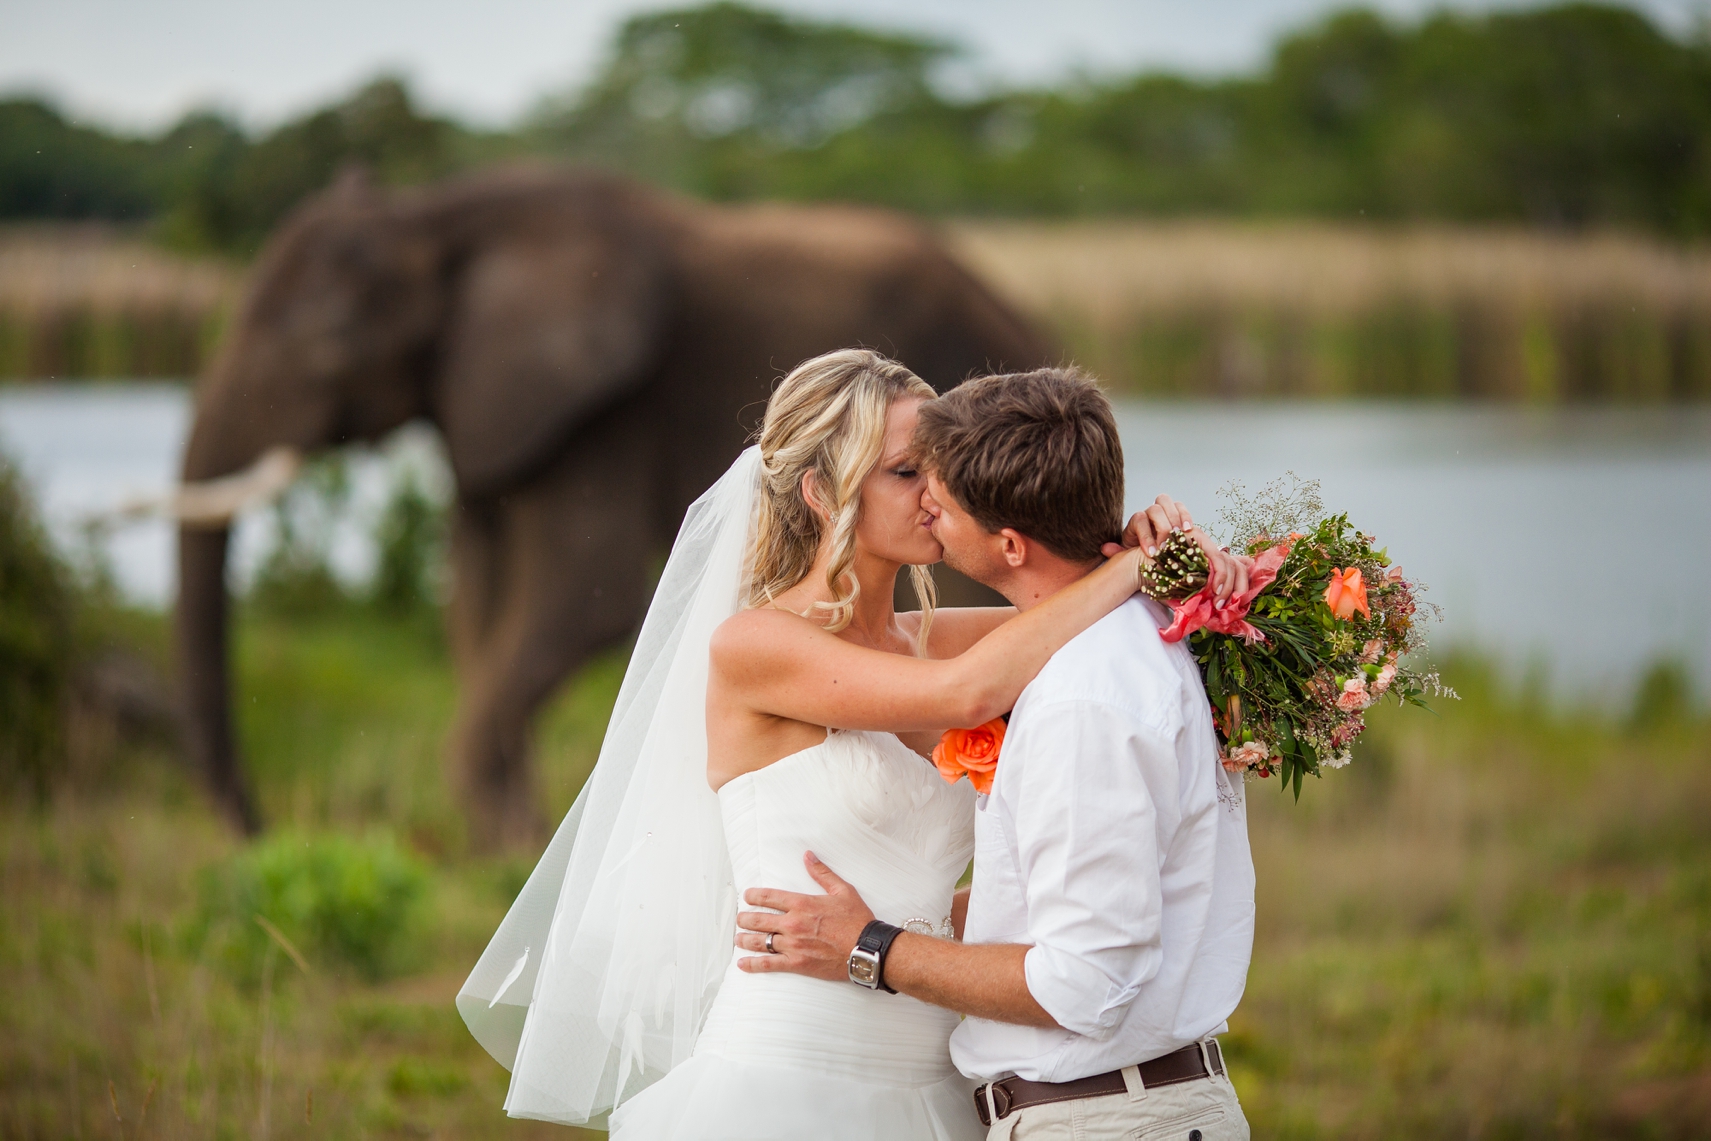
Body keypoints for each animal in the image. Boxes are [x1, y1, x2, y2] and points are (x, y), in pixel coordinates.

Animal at [180, 165, 1047, 851]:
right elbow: (476, 601)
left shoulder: (606, 408)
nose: (256, 829)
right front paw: (507, 842)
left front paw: (509, 842)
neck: (442, 214)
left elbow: (586, 600)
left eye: (330, 342)